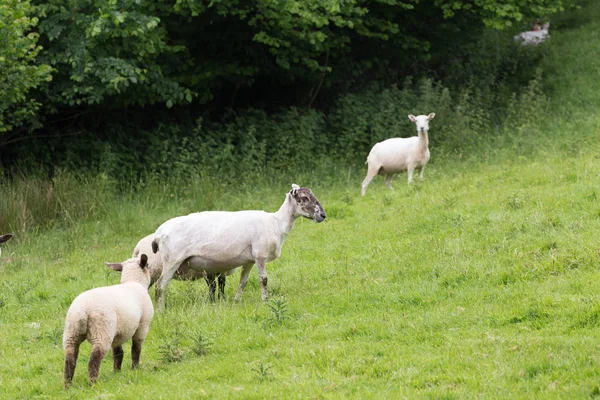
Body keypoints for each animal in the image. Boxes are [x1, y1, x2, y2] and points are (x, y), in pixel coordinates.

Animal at [61, 253, 152, 388]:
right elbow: (136, 349)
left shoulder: (118, 332)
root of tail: (82, 310)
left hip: (71, 333)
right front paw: (135, 368)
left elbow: (118, 352)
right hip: (101, 331)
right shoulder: (142, 325)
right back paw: (93, 383)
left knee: (70, 358)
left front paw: (117, 372)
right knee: (94, 358)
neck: (133, 282)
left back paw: (68, 385)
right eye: (148, 265)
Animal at [104, 234, 238, 300]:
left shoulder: (220, 271)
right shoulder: (207, 270)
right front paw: (212, 301)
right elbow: (213, 286)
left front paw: (221, 299)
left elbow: (221, 284)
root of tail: (138, 248)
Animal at [152, 183, 326, 310]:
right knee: (160, 286)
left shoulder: (249, 260)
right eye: (304, 197)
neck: (276, 223)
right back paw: (160, 311)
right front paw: (265, 301)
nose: (323, 215)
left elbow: (243, 281)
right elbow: (264, 280)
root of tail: (159, 233)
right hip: (172, 260)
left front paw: (236, 301)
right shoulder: (260, 255)